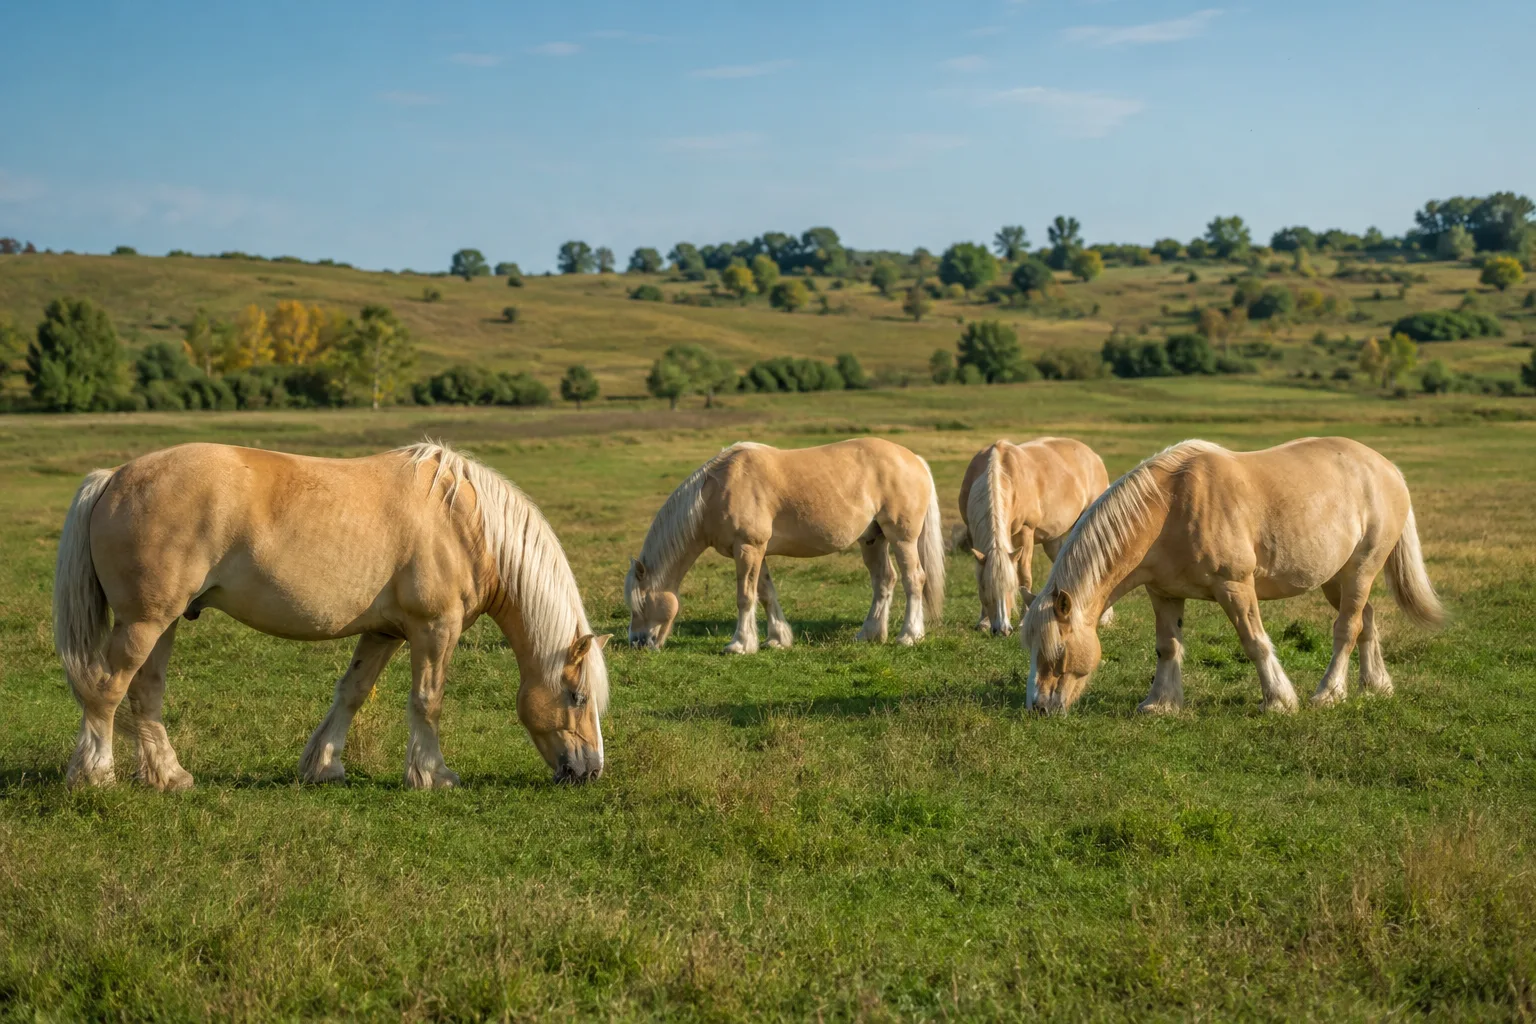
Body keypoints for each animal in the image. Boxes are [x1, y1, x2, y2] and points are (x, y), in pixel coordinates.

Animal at [53, 441, 610, 791]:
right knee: (106, 690)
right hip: (143, 623)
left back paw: (169, 777)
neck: (466, 524)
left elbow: (352, 693)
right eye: (577, 697)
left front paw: (322, 764)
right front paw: (433, 775)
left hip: (164, 622)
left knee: (145, 695)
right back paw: (95, 774)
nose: (591, 771)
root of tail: (112, 478)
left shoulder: (385, 633)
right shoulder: (435, 629)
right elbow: (427, 701)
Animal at [625, 438, 945, 653]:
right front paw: (777, 639)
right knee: (884, 581)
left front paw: (740, 644)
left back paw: (909, 635)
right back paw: (869, 634)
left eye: (641, 603)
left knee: (914, 579)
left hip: (902, 538)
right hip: (873, 540)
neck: (715, 490)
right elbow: (766, 593)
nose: (637, 643)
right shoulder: (757, 551)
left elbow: (745, 596)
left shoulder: (748, 548)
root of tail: (914, 459)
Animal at [957, 437, 1110, 636]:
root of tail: (1094, 456)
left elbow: (1025, 576)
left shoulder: (1026, 532)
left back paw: (1105, 618)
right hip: (1053, 541)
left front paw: (1023, 621)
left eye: (1011, 588)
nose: (1002, 630)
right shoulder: (973, 534)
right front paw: (983, 622)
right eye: (986, 588)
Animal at [1021, 437, 1444, 715]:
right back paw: (1375, 686)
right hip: (1335, 579)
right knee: (1365, 620)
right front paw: (1160, 703)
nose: (1038, 707)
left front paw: (1279, 701)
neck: (1171, 507)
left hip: (1361, 569)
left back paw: (1329, 693)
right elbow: (1168, 646)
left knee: (1347, 628)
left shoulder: (1235, 586)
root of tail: (1387, 469)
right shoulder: (1164, 593)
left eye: (1058, 651)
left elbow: (1254, 641)